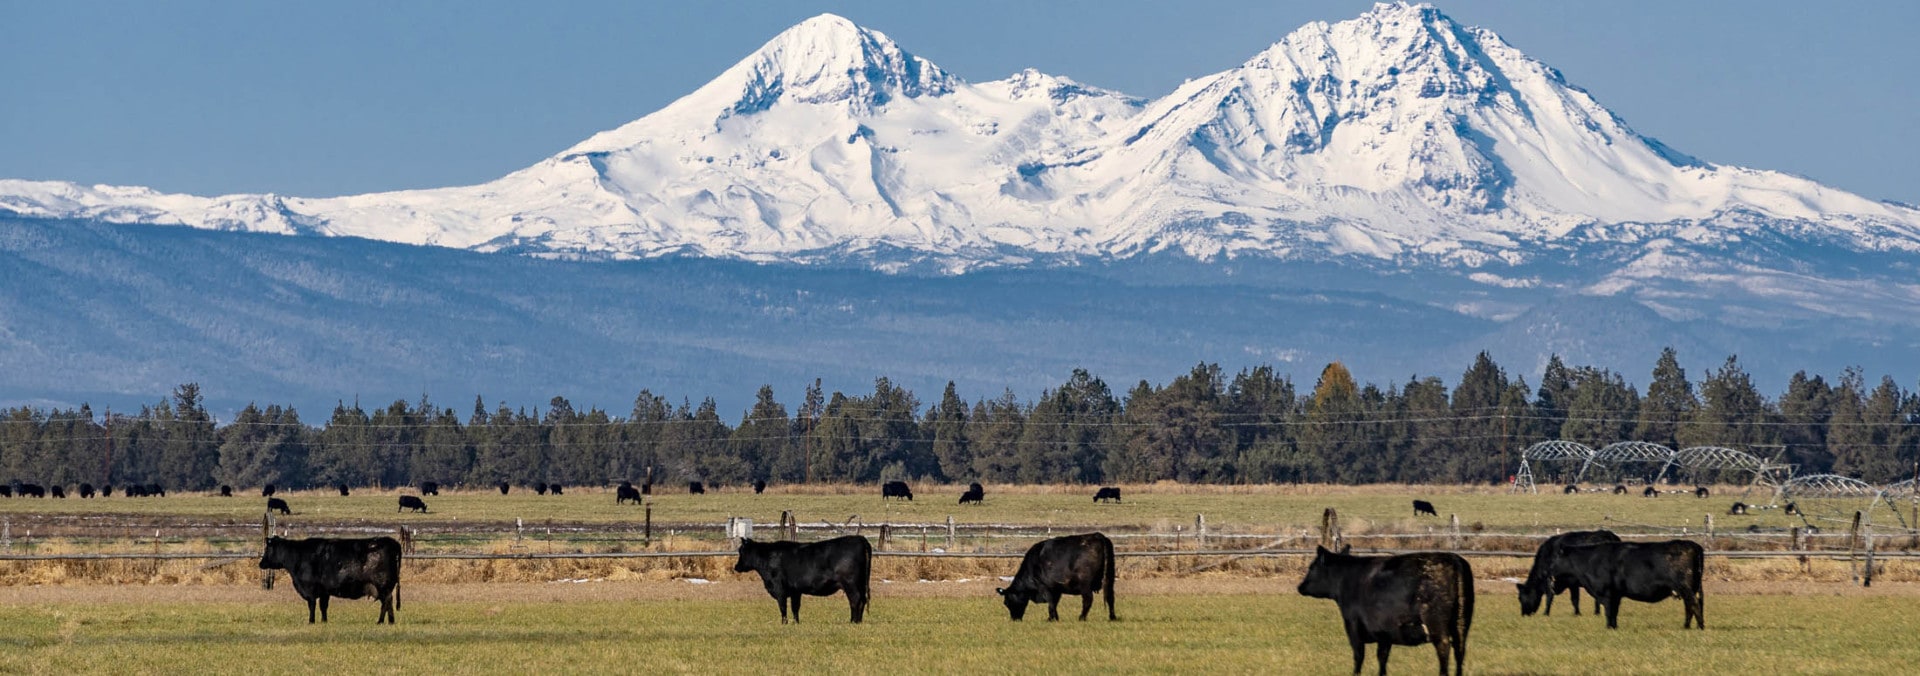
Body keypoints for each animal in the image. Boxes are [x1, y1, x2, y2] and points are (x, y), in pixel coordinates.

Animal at [258, 536, 403, 624]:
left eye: (267, 549)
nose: (261, 563)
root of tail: (392, 542)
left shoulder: (310, 589)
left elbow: (312, 605)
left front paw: (311, 621)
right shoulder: (324, 592)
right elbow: (323, 607)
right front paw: (324, 621)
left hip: (383, 586)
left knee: (386, 602)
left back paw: (381, 621)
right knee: (388, 602)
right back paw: (390, 621)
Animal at [733, 535, 872, 624]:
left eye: (741, 551)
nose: (736, 567)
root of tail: (860, 538)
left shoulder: (779, 588)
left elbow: (783, 607)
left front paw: (784, 623)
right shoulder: (795, 591)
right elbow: (795, 608)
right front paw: (796, 623)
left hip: (850, 583)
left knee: (855, 600)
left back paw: (853, 621)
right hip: (861, 583)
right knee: (863, 599)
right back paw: (858, 621)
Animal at [1298, 546, 1473, 676]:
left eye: (1311, 567)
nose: (1300, 586)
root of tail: (1454, 559)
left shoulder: (1353, 625)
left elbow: (1358, 656)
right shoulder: (1384, 632)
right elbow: (1382, 658)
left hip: (1436, 624)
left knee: (1444, 649)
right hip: (1461, 624)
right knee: (1460, 651)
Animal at [1549, 539, 1705, 630]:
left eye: (1555, 559)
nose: (1548, 573)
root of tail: (1694, 546)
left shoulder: (1607, 593)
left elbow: (1609, 611)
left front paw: (1609, 628)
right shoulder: (1616, 595)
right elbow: (1614, 612)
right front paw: (1614, 627)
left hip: (1685, 587)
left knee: (1693, 604)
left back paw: (1699, 626)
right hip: (1690, 588)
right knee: (1691, 605)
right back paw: (1687, 626)